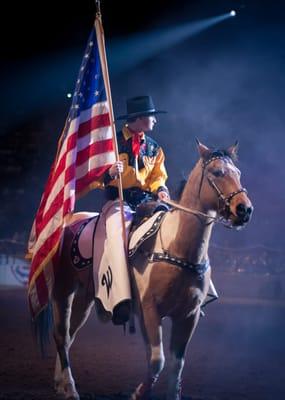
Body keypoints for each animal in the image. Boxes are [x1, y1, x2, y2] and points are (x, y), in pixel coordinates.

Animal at [33, 141, 253, 400]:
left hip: (85, 297)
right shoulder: (150, 310)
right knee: (60, 335)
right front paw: (138, 393)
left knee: (69, 337)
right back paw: (69, 388)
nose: (244, 209)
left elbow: (176, 365)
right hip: (62, 290)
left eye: (238, 173)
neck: (174, 247)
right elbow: (157, 360)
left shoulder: (188, 316)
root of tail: (68, 221)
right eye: (217, 172)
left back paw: (60, 383)